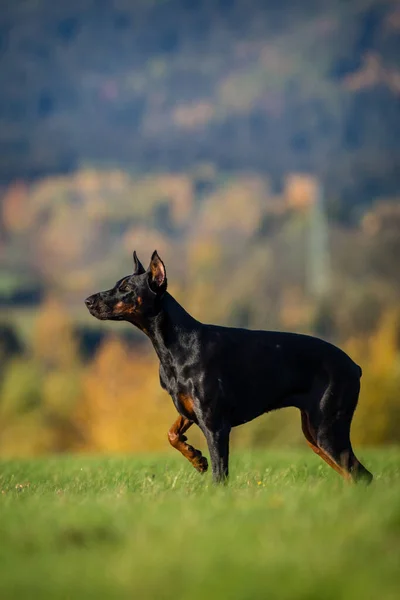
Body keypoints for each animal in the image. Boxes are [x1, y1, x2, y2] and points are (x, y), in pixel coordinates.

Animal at [86, 250, 374, 482]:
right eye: (118, 284)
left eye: (126, 287)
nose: (88, 300)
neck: (174, 345)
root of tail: (355, 366)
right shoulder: (189, 409)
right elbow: (171, 433)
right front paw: (196, 458)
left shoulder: (215, 424)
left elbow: (219, 474)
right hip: (314, 435)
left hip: (325, 427)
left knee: (361, 474)